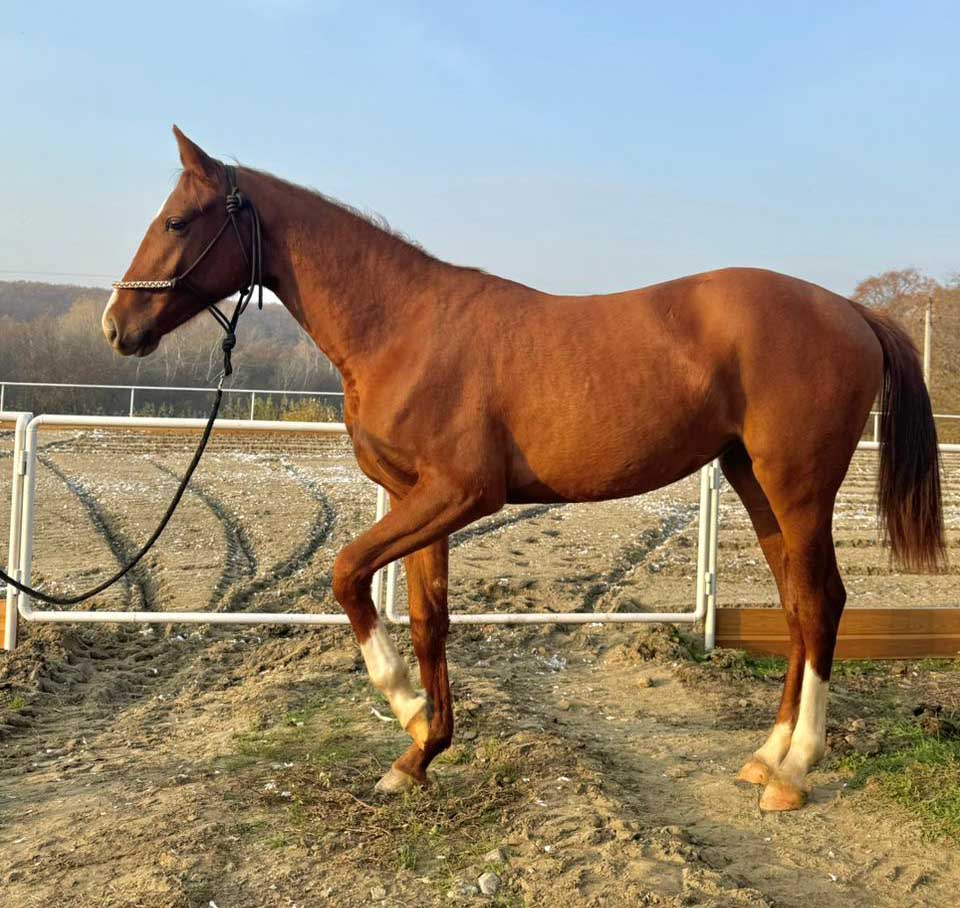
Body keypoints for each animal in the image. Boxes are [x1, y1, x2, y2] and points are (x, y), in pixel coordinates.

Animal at [102, 126, 944, 811]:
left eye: (178, 221)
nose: (117, 325)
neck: (403, 327)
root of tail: (850, 310)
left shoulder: (459, 494)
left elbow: (345, 574)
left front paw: (405, 706)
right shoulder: (417, 501)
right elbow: (431, 620)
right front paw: (419, 755)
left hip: (797, 487)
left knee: (822, 603)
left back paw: (796, 771)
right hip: (754, 483)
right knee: (797, 607)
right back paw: (767, 758)